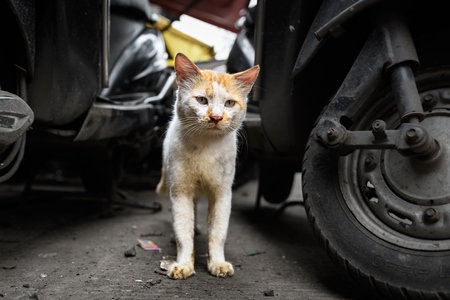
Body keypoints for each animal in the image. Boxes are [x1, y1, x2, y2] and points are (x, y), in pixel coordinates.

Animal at [156, 52, 258, 280]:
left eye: (229, 103)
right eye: (202, 100)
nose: (216, 117)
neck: (205, 146)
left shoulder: (222, 193)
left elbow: (218, 233)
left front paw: (217, 263)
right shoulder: (180, 191)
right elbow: (183, 231)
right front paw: (183, 264)